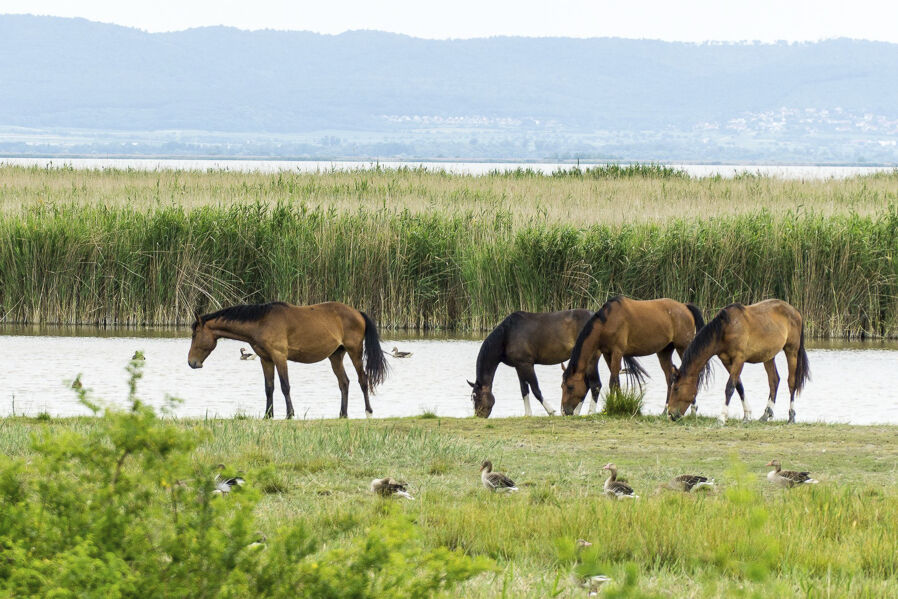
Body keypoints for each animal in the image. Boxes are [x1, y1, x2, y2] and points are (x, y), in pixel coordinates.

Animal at [187, 302, 386, 420]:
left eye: (195, 334)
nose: (191, 362)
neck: (261, 322)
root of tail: (357, 312)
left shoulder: (279, 356)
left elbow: (285, 386)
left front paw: (290, 414)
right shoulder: (266, 359)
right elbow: (269, 387)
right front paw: (268, 415)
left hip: (355, 351)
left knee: (363, 379)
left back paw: (368, 411)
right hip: (336, 355)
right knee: (344, 383)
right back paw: (343, 414)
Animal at [466, 312, 600, 420]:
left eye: (477, 397)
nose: (478, 416)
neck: (507, 334)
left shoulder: (527, 365)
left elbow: (535, 389)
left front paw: (550, 411)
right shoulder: (519, 366)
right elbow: (524, 390)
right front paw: (528, 414)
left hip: (590, 360)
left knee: (594, 385)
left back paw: (590, 412)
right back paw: (577, 411)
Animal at [556, 296, 704, 418]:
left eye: (570, 386)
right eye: (562, 386)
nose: (565, 411)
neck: (607, 322)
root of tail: (685, 307)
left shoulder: (617, 352)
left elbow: (612, 381)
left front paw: (613, 406)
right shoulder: (607, 353)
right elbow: (616, 381)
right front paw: (619, 404)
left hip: (683, 347)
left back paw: (693, 410)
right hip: (664, 351)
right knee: (670, 378)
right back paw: (664, 411)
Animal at [668, 298, 808, 422]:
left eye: (676, 388)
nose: (671, 414)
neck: (725, 329)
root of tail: (795, 311)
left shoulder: (739, 360)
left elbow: (730, 387)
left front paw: (722, 417)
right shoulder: (727, 361)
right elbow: (739, 386)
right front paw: (747, 415)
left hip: (791, 351)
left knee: (791, 382)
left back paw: (791, 416)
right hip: (768, 356)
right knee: (774, 381)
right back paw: (765, 415)